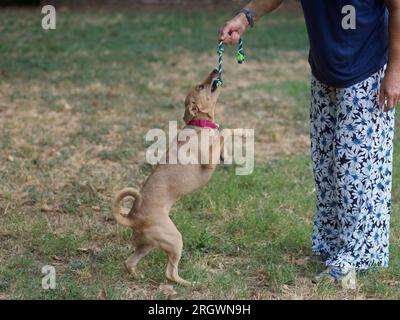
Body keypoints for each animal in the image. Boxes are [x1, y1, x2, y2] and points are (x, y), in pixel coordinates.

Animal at [112, 69, 223, 284]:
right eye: (201, 86)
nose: (215, 70)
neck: (199, 123)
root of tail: (133, 218)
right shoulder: (208, 160)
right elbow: (221, 137)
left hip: (148, 244)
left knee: (129, 263)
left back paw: (138, 275)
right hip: (174, 239)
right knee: (170, 273)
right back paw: (189, 283)